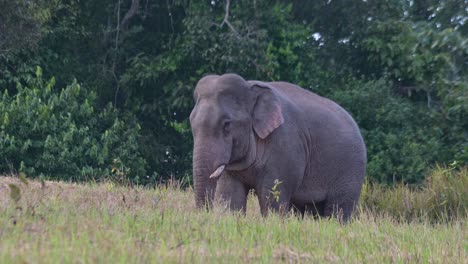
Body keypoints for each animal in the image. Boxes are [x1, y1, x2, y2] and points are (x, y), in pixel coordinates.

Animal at [189, 72, 366, 221]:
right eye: (191, 123)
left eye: (226, 125)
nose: (203, 214)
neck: (250, 87)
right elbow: (230, 194)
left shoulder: (284, 145)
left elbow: (272, 196)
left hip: (351, 171)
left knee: (338, 210)